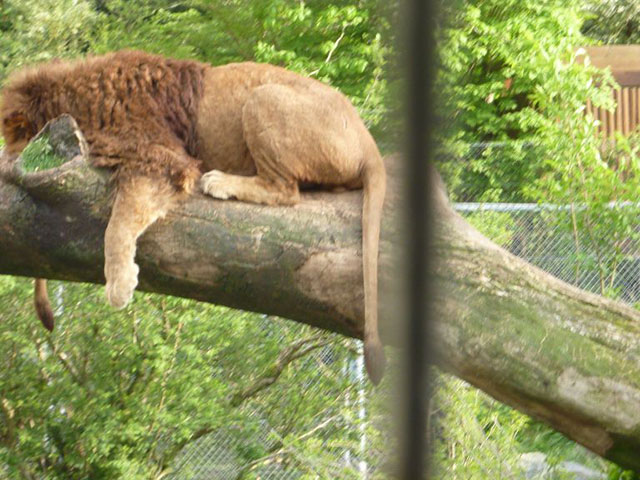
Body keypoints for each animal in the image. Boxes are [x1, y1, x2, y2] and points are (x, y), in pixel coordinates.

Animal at [0, 50, 387, 384]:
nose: (6, 167)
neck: (74, 97)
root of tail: (369, 143)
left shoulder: (160, 159)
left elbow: (119, 225)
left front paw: (119, 286)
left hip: (263, 98)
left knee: (285, 190)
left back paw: (220, 182)